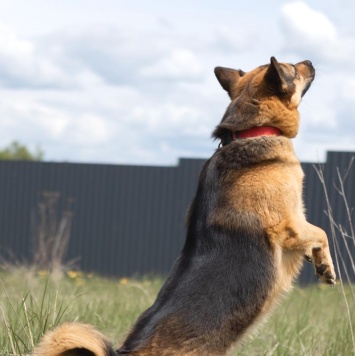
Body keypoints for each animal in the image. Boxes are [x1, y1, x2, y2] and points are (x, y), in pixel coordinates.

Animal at [33, 57, 336, 354]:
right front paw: (326, 267)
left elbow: (315, 237)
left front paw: (316, 259)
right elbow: (321, 232)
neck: (249, 132)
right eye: (292, 68)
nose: (310, 60)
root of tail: (126, 351)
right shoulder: (288, 224)